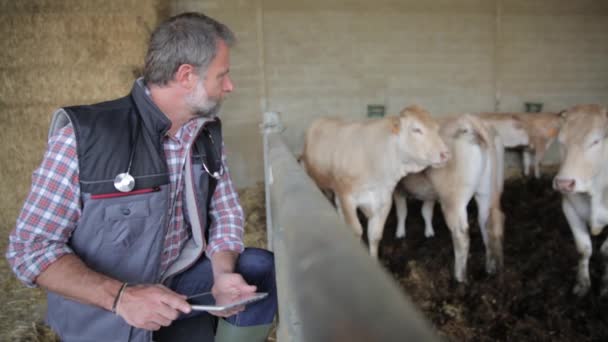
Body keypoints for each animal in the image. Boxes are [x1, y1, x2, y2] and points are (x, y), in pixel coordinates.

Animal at [300, 105, 448, 258]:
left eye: (437, 129)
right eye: (416, 129)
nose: (445, 153)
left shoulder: (384, 201)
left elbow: (375, 235)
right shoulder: (347, 197)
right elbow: (357, 230)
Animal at [392, 113, 506, 282]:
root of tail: (470, 120)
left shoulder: (398, 188)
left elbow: (402, 211)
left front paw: (400, 234)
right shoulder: (430, 192)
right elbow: (426, 211)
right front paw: (429, 233)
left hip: (453, 200)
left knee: (461, 235)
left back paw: (460, 278)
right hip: (487, 192)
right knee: (489, 224)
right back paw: (491, 270)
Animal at [552, 104, 608, 296]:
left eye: (595, 141)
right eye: (561, 141)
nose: (563, 183)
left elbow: (606, 251)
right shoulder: (569, 208)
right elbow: (584, 249)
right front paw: (582, 284)